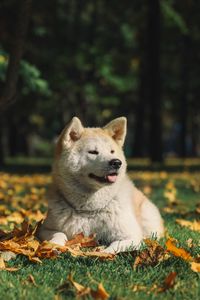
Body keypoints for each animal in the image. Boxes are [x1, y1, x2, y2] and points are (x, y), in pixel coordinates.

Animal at [38, 117, 164, 253]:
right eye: (93, 152)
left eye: (112, 151)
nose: (116, 162)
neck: (89, 209)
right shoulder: (45, 229)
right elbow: (58, 234)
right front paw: (54, 246)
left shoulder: (131, 236)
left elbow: (114, 246)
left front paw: (102, 253)